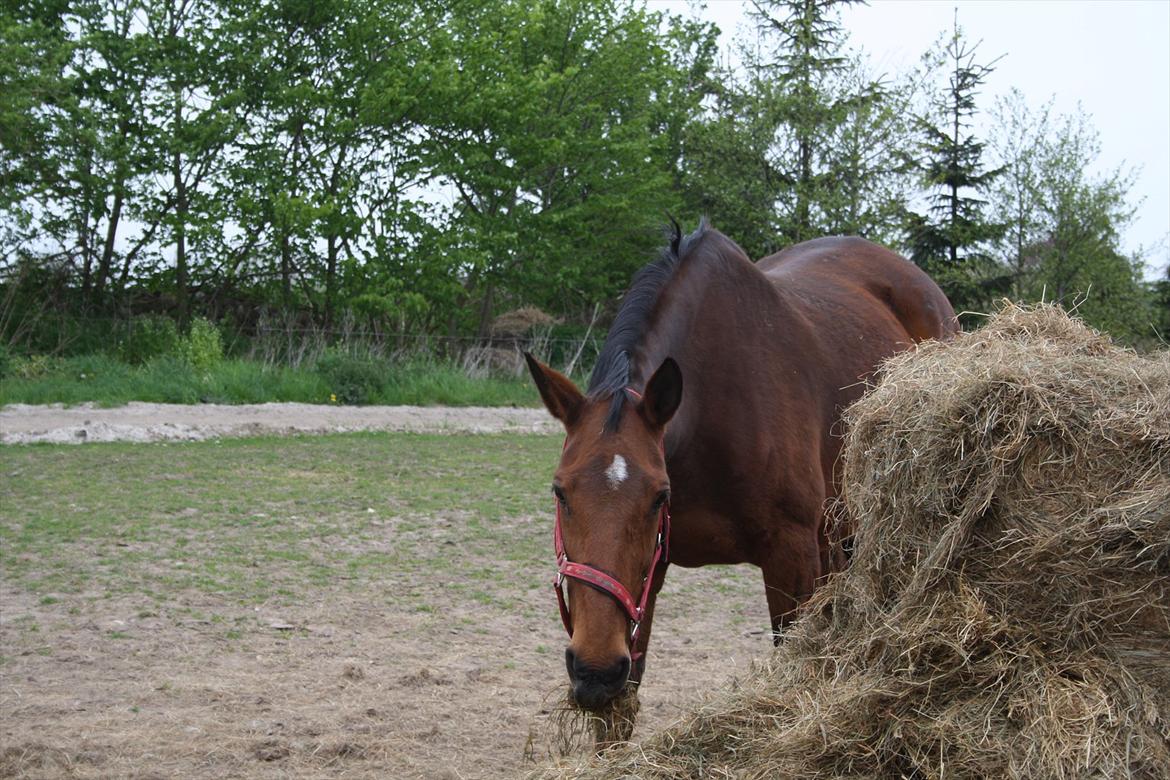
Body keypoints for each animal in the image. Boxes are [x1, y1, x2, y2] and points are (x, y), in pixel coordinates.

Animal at [526, 216, 954, 715]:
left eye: (659, 497)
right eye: (560, 491)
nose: (594, 667)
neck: (712, 408)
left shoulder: (791, 556)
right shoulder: (644, 578)